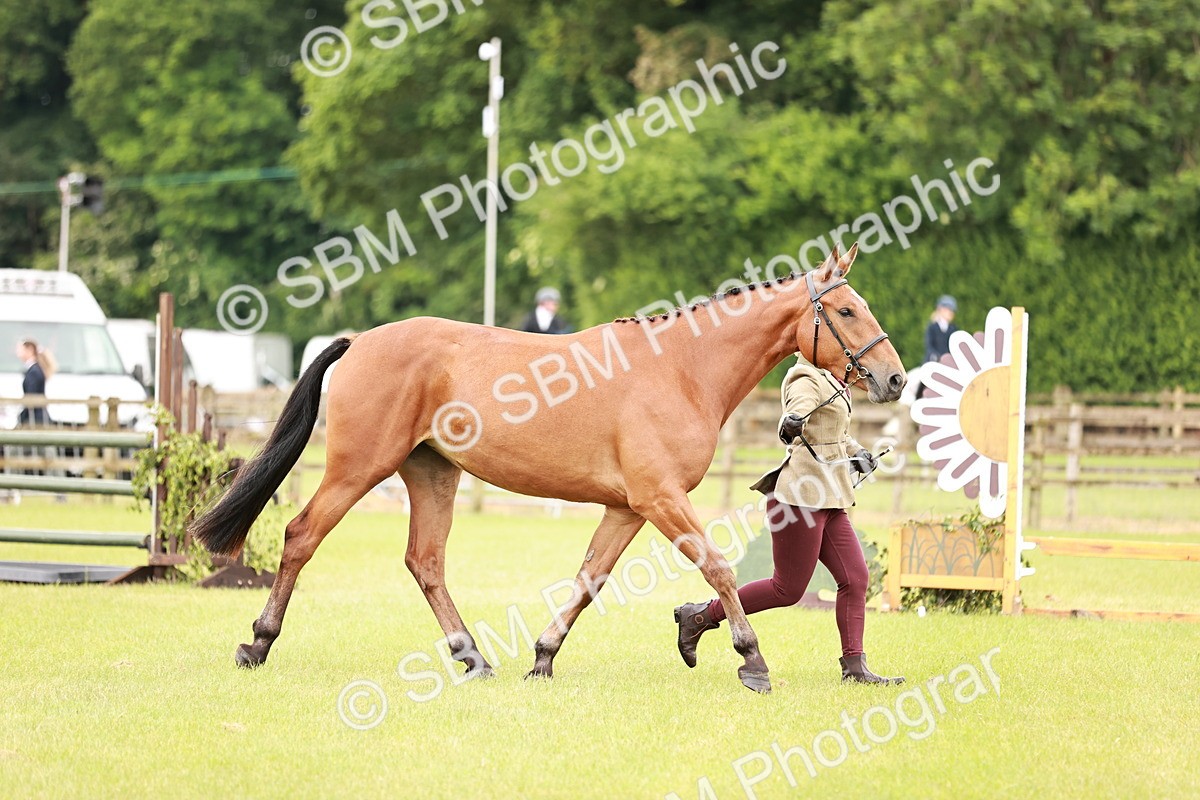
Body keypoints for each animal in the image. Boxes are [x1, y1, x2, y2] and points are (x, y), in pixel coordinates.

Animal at [190, 243, 905, 693]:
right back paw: (257, 643)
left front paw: (543, 657)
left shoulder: (628, 507)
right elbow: (719, 567)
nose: (895, 378)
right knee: (302, 535)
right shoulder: (660, 499)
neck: (680, 368)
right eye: (846, 310)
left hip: (432, 473)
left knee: (426, 562)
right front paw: (751, 660)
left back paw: (473, 658)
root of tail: (362, 339)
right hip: (358, 468)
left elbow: (589, 579)